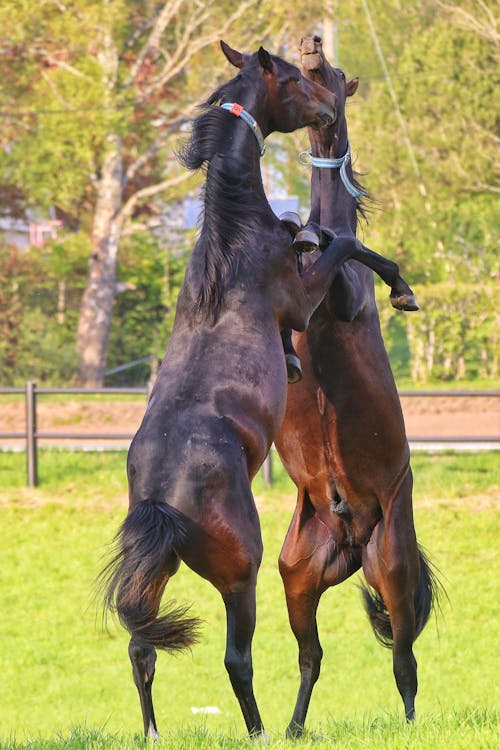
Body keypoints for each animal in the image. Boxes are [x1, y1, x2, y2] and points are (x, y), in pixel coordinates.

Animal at [102, 39, 426, 740]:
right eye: (297, 82)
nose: (327, 106)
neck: (235, 235)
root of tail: (161, 500)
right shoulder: (302, 299)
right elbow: (346, 243)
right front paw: (398, 285)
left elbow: (328, 237)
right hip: (246, 572)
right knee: (241, 656)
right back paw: (260, 731)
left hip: (160, 574)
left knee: (142, 648)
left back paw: (155, 733)